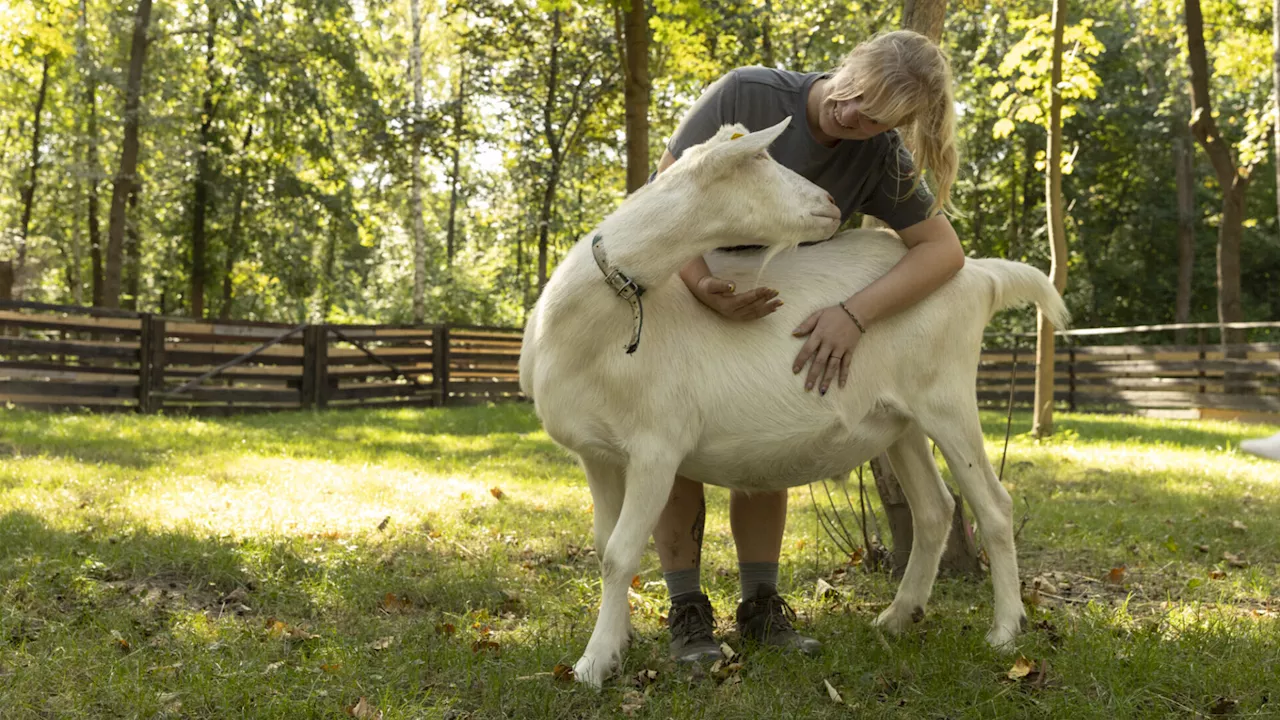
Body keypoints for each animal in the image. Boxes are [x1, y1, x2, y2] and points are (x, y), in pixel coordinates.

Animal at [519, 117, 1070, 681]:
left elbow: (621, 553)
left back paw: (1005, 631)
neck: (606, 320)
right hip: (900, 419)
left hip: (948, 398)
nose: (827, 202)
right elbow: (602, 546)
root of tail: (978, 275)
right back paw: (897, 616)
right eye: (760, 160)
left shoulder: (657, 447)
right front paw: (618, 644)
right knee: (935, 509)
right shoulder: (598, 454)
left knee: (994, 505)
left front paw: (592, 664)